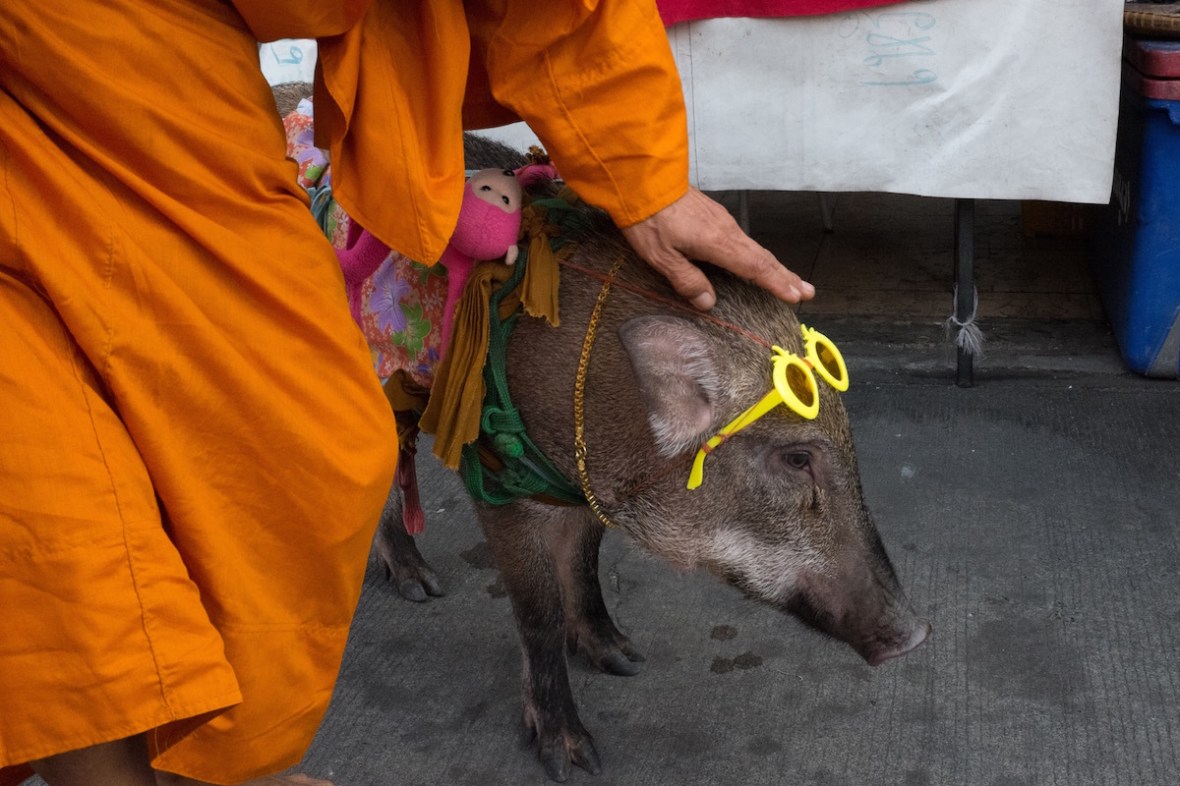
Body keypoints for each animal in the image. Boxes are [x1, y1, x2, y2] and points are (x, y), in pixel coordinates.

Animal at [374, 175, 930, 780]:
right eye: (797, 459)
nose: (918, 635)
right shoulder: (500, 487)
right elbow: (539, 612)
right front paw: (574, 761)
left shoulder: (583, 495)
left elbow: (584, 563)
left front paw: (625, 660)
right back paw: (423, 588)